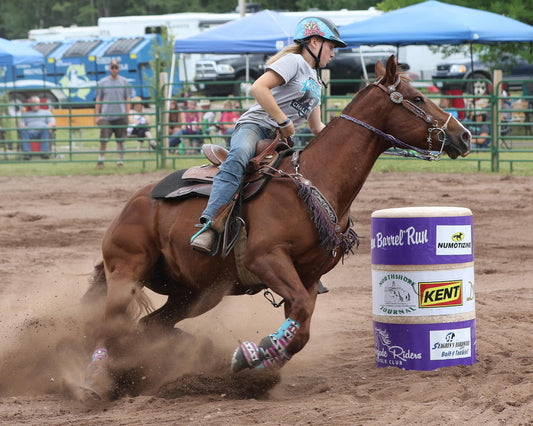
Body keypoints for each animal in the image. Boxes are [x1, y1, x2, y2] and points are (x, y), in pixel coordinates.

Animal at [83, 55, 470, 398]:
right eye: (417, 98)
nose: (464, 135)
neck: (316, 180)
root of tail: (133, 204)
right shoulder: (266, 260)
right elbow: (299, 313)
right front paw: (254, 354)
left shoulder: (308, 276)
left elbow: (302, 327)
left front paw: (257, 366)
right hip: (127, 271)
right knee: (109, 325)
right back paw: (96, 380)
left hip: (194, 293)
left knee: (148, 325)